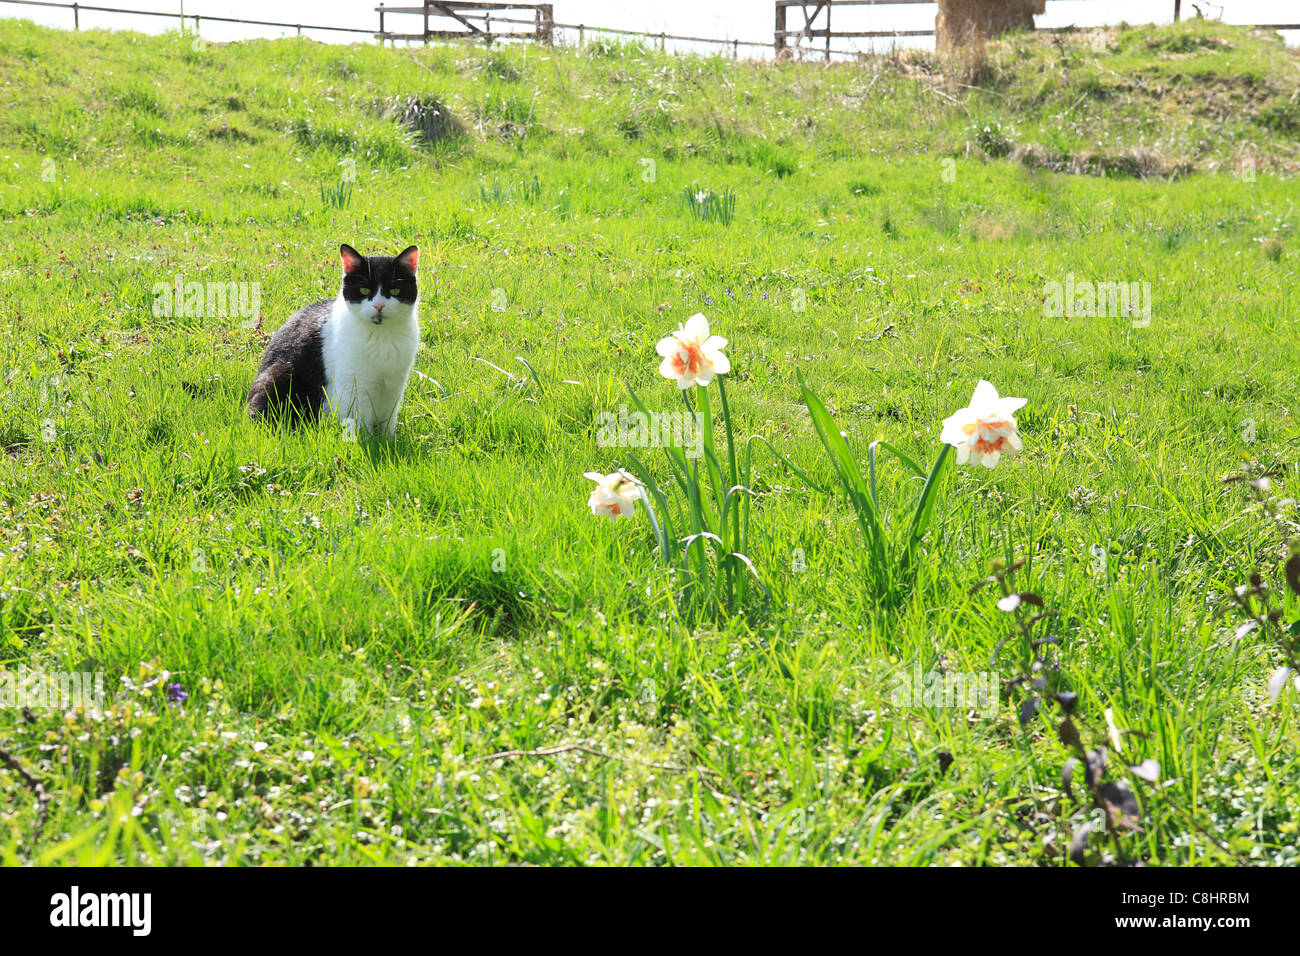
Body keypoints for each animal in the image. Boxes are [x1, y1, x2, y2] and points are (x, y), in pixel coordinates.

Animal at [248, 243, 421, 437]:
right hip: (278, 375)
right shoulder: (354, 384)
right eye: (364, 290)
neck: (381, 336)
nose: (379, 306)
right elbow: (359, 420)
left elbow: (388, 421)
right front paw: (366, 441)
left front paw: (386, 440)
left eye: (394, 291)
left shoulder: (394, 386)